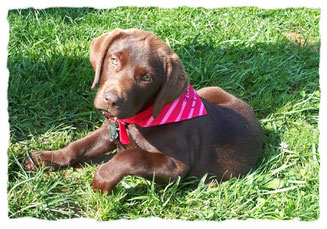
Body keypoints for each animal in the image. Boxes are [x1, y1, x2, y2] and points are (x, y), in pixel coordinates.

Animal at [23, 28, 264, 193]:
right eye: (113, 60)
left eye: (147, 77)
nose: (110, 100)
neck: (137, 120)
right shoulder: (109, 130)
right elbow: (79, 145)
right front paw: (45, 158)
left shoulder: (177, 166)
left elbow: (131, 156)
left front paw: (102, 180)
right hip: (210, 90)